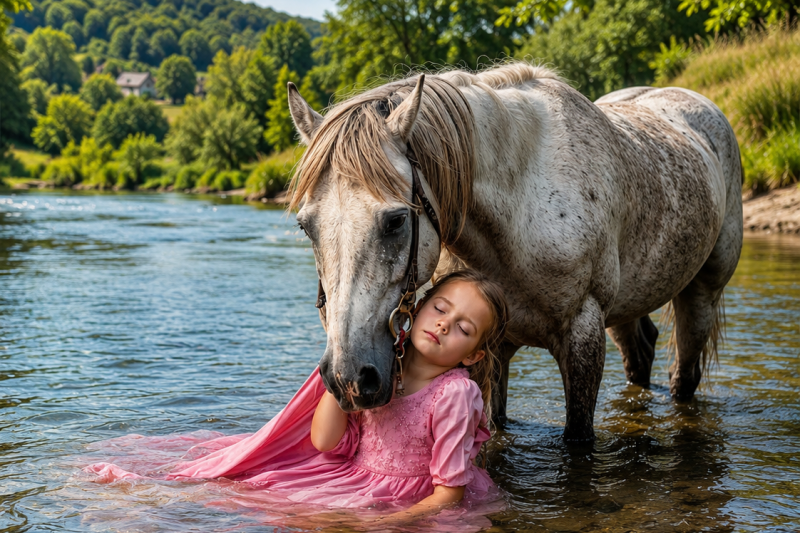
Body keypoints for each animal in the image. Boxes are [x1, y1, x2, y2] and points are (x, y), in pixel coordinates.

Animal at [286, 62, 743, 441]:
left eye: (396, 220)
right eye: (306, 226)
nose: (348, 377)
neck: (521, 205)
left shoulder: (583, 335)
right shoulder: (496, 350)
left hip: (700, 293)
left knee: (684, 377)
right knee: (641, 354)